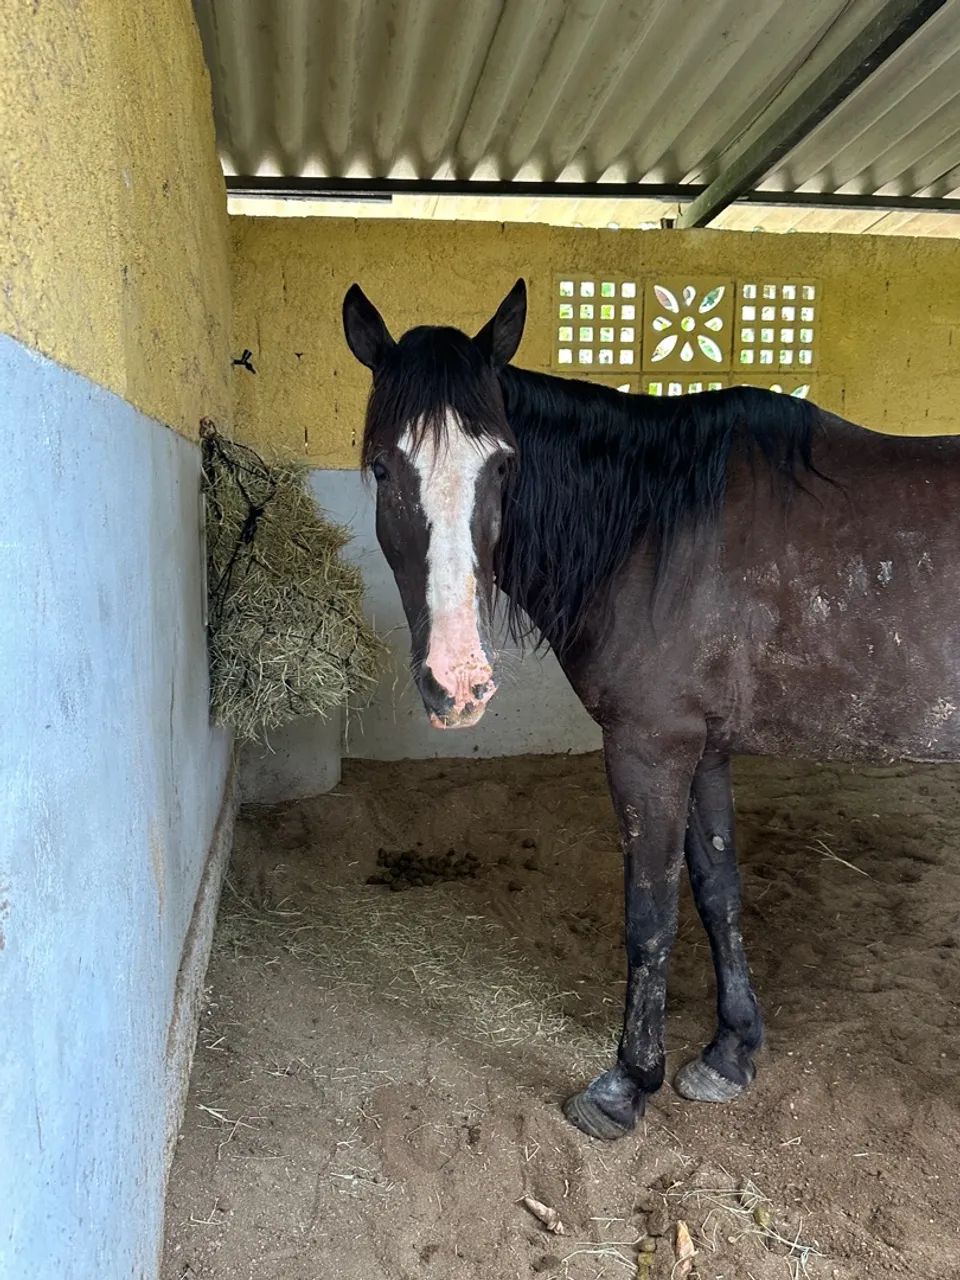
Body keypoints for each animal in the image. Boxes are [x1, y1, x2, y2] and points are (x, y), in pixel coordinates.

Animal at [341, 277, 960, 1142]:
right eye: (382, 466)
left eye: (503, 464)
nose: (457, 683)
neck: (654, 531)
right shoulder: (702, 749)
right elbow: (717, 889)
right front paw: (730, 1052)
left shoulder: (650, 748)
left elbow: (650, 914)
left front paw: (625, 1084)